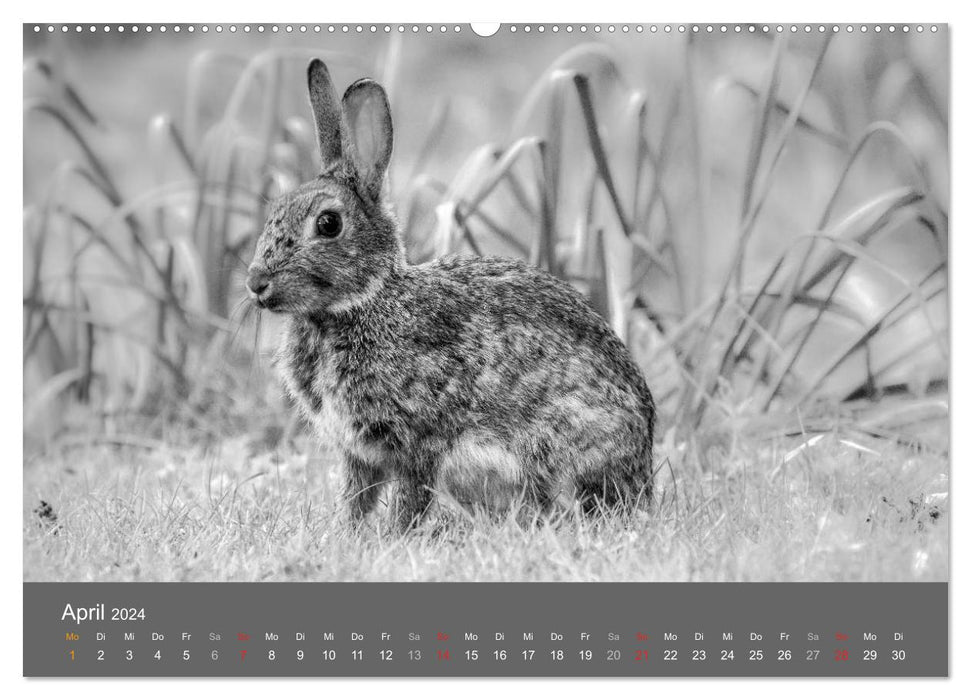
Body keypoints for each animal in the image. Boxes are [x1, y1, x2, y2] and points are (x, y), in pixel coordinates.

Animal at [247, 58, 656, 532]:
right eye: (274, 213)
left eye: (328, 224)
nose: (256, 283)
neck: (362, 302)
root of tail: (642, 471)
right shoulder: (357, 452)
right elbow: (356, 498)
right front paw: (344, 534)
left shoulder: (416, 441)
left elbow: (408, 497)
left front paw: (394, 536)